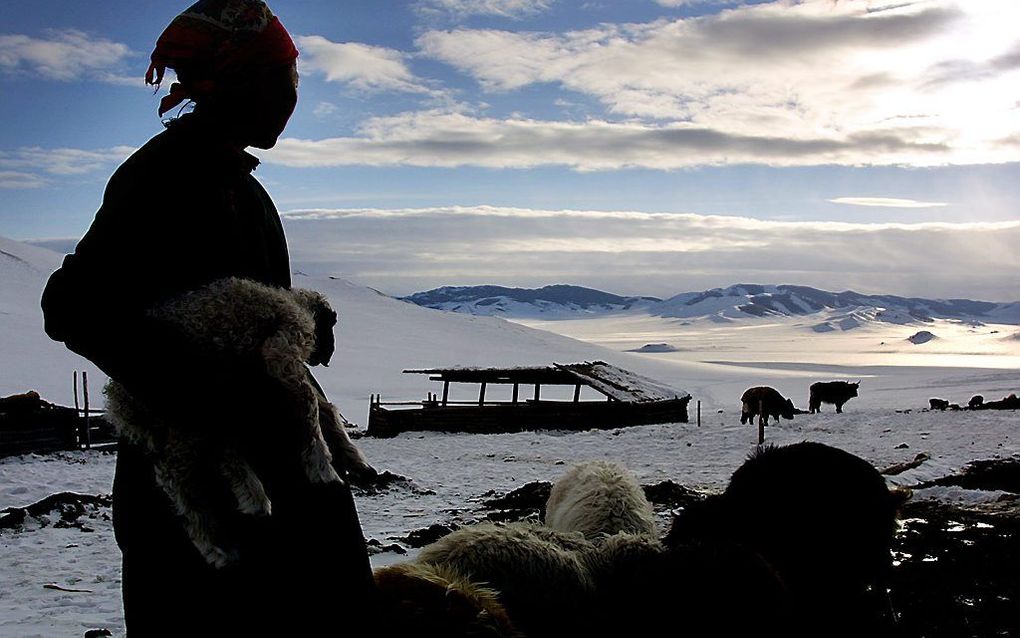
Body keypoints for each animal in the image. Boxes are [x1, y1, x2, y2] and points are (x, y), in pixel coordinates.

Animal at [103, 275, 373, 563]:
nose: (328, 356)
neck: (296, 304)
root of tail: (117, 404)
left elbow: (326, 408)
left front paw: (354, 459)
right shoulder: (282, 351)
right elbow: (311, 405)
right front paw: (322, 466)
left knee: (214, 456)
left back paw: (244, 508)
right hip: (183, 410)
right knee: (183, 482)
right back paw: (225, 534)